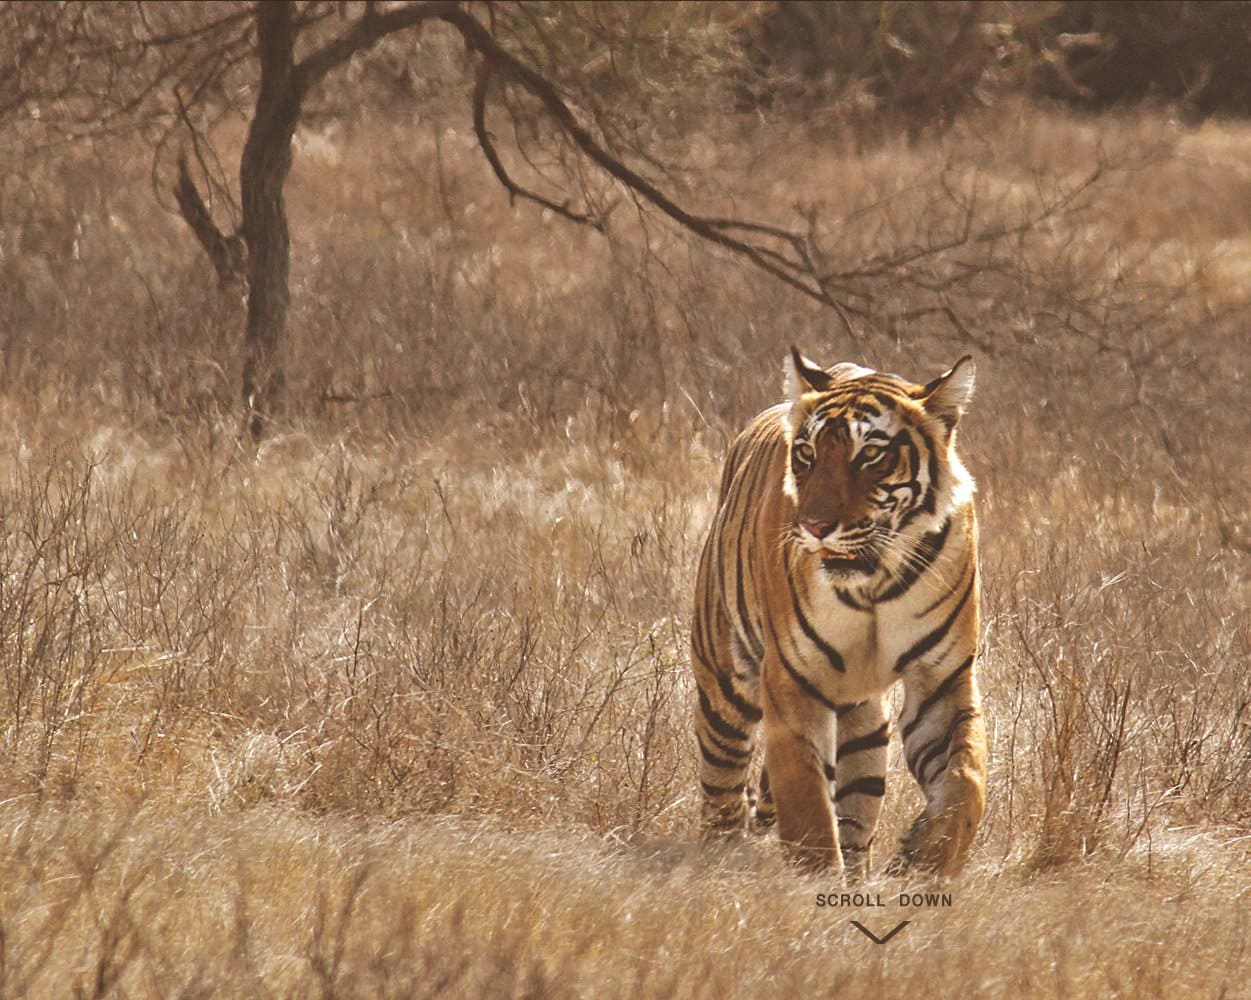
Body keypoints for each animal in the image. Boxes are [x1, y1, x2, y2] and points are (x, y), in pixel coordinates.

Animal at [690, 345, 980, 876]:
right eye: (806, 454)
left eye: (871, 455)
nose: (814, 526)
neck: (875, 586)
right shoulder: (793, 681)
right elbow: (807, 807)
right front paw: (813, 883)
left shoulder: (943, 680)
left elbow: (967, 779)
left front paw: (926, 857)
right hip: (724, 682)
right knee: (722, 789)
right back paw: (721, 861)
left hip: (863, 721)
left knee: (857, 807)